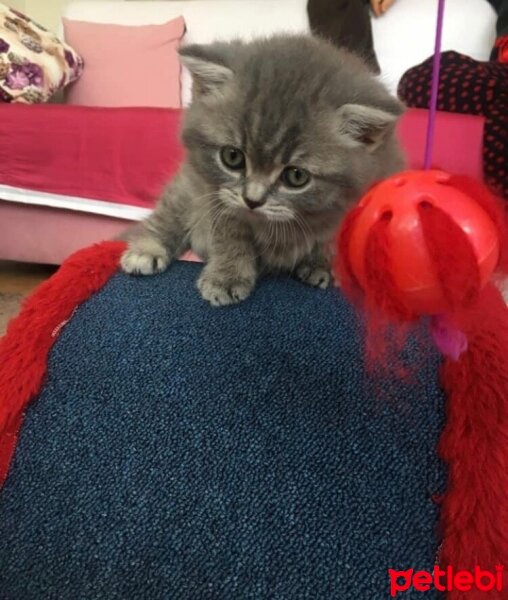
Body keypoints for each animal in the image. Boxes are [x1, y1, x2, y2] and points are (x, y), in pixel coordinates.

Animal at [120, 32, 404, 304]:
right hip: (186, 188)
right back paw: (146, 249)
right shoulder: (218, 199)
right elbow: (230, 236)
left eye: (296, 176)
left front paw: (322, 264)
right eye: (232, 157)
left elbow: (332, 238)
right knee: (167, 215)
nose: (252, 200)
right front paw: (227, 276)